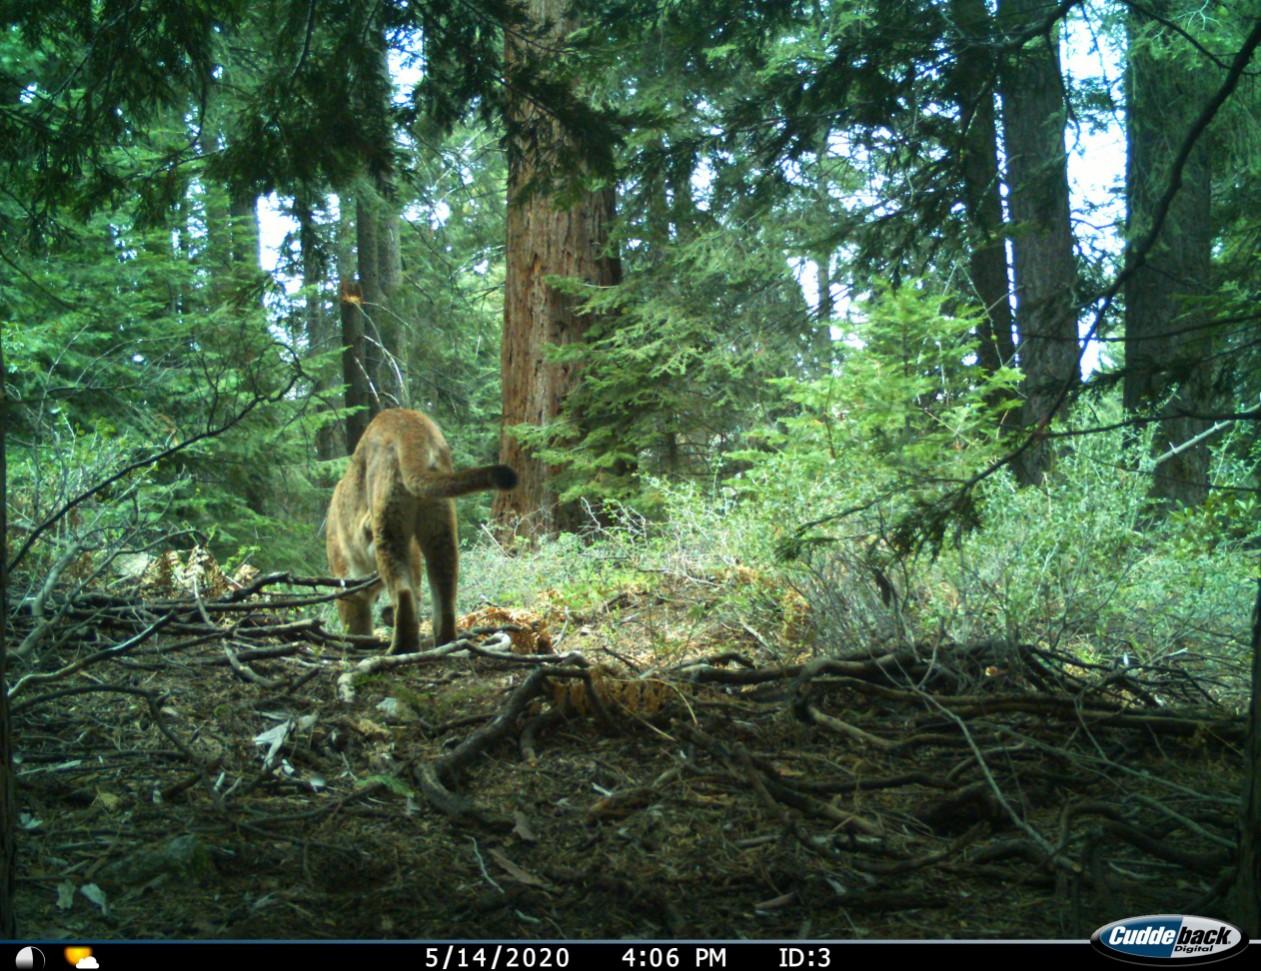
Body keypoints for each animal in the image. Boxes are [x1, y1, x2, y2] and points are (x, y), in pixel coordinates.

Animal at [330, 403, 522, 655]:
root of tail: (408, 424)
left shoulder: (347, 578)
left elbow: (354, 619)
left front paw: (358, 641)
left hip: (389, 525)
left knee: (403, 591)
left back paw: (401, 647)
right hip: (439, 520)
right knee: (445, 585)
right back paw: (446, 642)